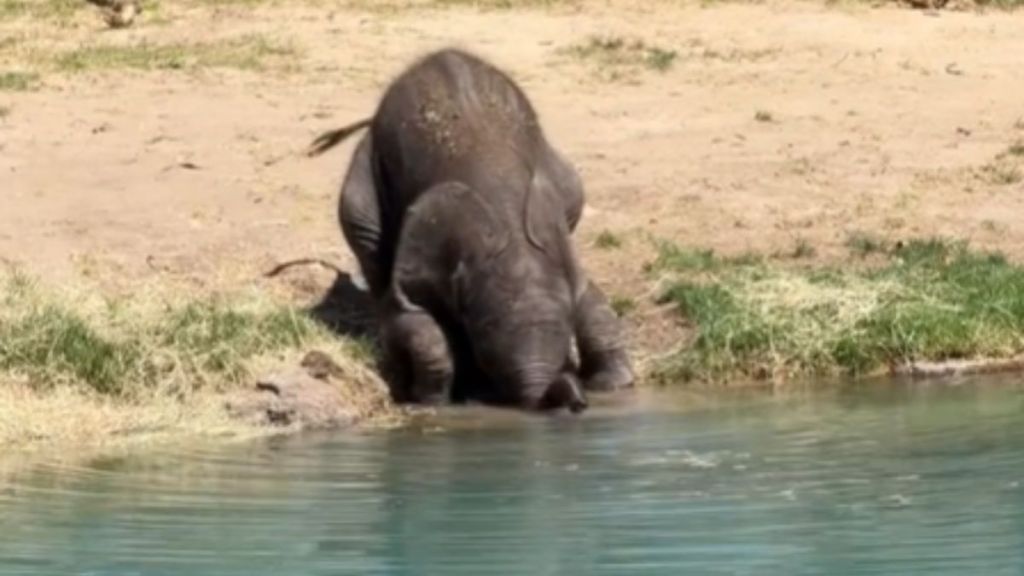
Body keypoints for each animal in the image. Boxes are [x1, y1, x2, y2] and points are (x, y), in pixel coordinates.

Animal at [307, 47, 634, 409]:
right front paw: (430, 402)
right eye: (487, 350)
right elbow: (415, 317)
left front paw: (615, 386)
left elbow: (592, 300)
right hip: (365, 174)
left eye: (565, 347)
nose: (578, 402)